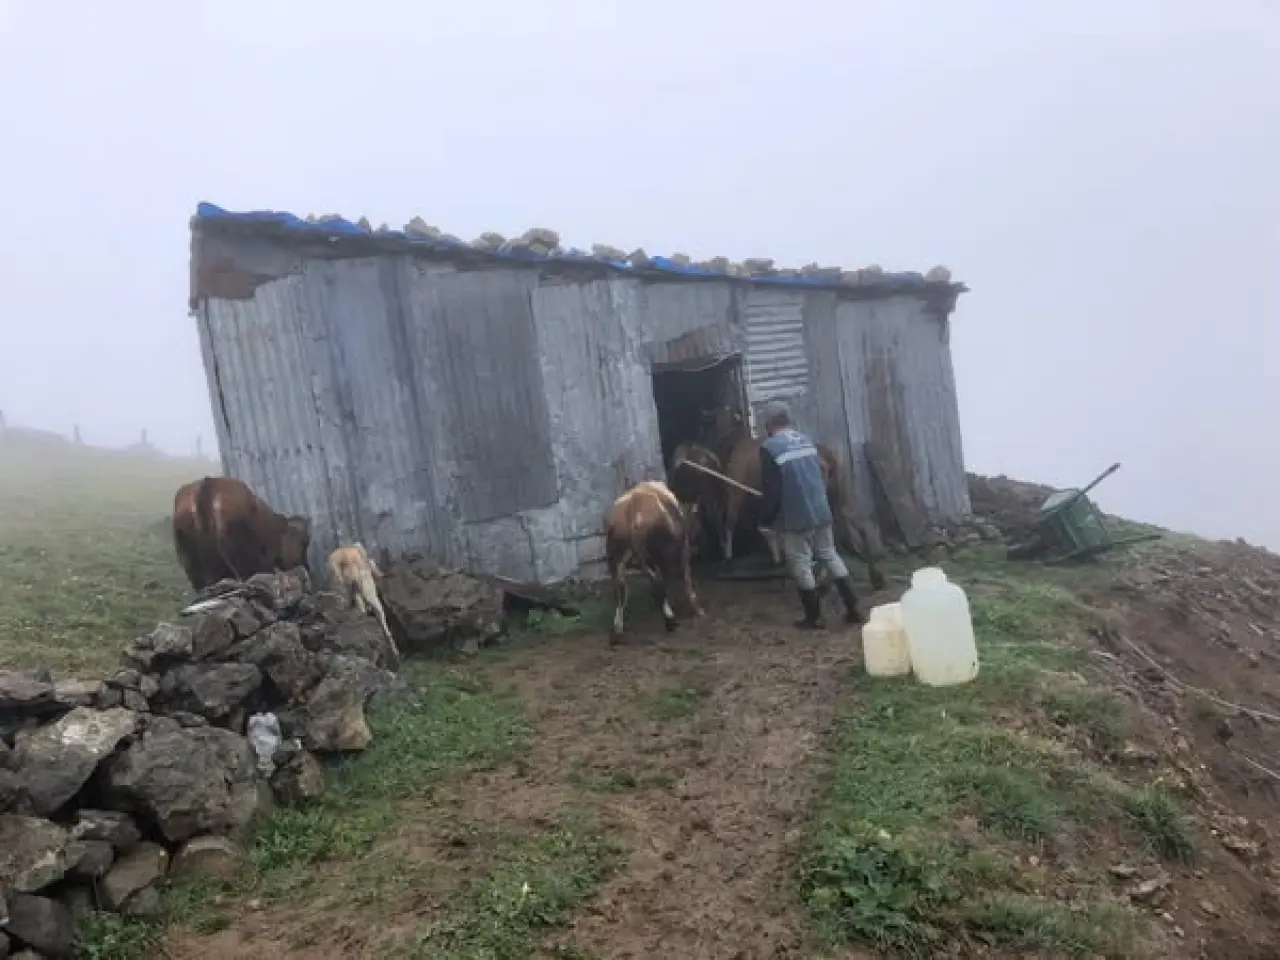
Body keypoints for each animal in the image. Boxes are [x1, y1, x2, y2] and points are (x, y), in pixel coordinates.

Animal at [604, 480, 703, 642]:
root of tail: (632, 509)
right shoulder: (682, 549)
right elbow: (686, 578)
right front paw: (697, 609)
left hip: (616, 559)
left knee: (620, 591)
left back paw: (617, 629)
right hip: (659, 555)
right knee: (659, 585)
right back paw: (670, 621)